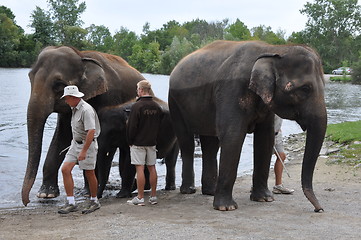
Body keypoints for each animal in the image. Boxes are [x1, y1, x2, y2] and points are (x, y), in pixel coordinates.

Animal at [20, 45, 145, 206]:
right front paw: (46, 194)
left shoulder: (108, 96)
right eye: (30, 77)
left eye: (58, 84)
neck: (81, 56)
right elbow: (62, 136)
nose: (26, 202)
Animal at [169, 40, 326, 212]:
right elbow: (233, 136)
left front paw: (265, 199)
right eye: (305, 89)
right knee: (187, 142)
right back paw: (189, 190)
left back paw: (210, 191)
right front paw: (226, 207)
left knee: (210, 144)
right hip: (174, 103)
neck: (274, 49)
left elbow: (265, 138)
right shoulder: (231, 90)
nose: (319, 209)